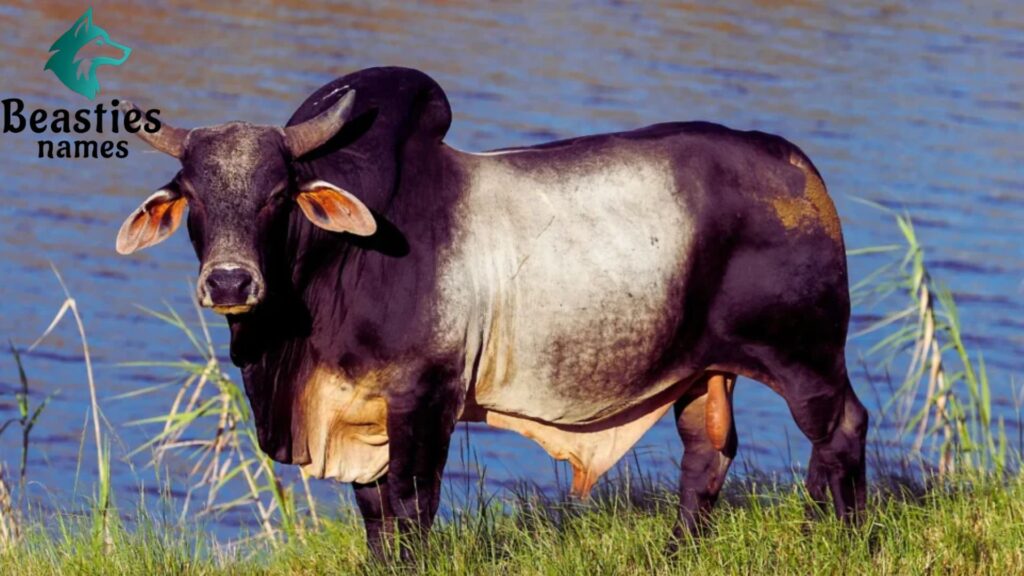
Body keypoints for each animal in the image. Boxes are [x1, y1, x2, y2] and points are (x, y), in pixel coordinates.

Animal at [115, 66, 867, 555]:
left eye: (276, 196)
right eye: (193, 197)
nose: (230, 282)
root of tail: (795, 164)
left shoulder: (424, 400)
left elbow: (411, 509)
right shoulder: (364, 418)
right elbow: (374, 515)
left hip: (805, 355)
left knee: (841, 430)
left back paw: (838, 538)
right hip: (705, 370)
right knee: (707, 454)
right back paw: (676, 553)